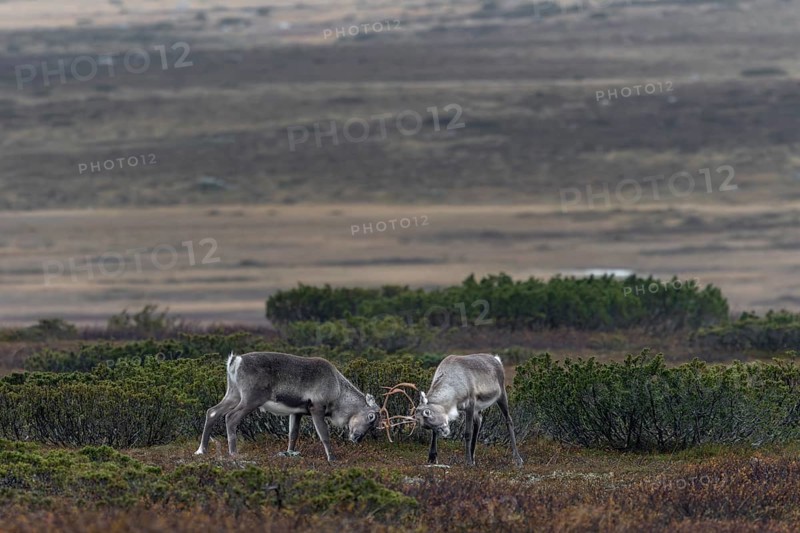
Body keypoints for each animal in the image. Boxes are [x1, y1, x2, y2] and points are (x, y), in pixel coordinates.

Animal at [195, 352, 381, 462]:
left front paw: (289, 453)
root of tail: (235, 361)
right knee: (230, 417)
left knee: (212, 412)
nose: (357, 438)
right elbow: (324, 435)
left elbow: (293, 434)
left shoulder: (297, 412)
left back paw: (201, 450)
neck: (338, 391)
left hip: (233, 394)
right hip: (251, 399)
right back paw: (234, 453)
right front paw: (332, 458)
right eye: (371, 417)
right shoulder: (316, 408)